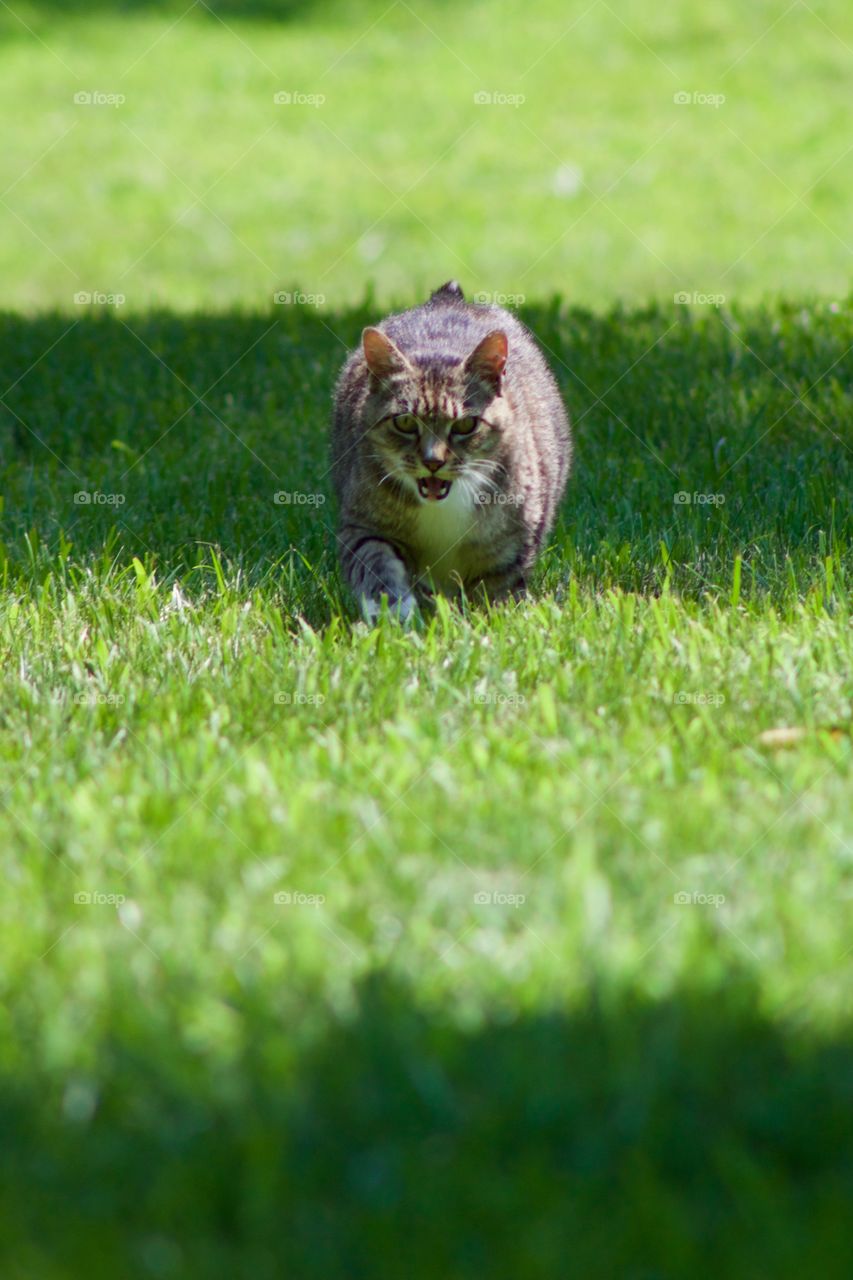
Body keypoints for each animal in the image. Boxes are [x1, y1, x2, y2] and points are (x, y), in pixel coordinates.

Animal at [327, 282, 568, 622]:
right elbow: (376, 565)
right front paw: (394, 613)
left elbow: (498, 590)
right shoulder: (364, 526)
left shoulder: (514, 540)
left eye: (466, 424)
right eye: (404, 422)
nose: (433, 461)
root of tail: (447, 298)